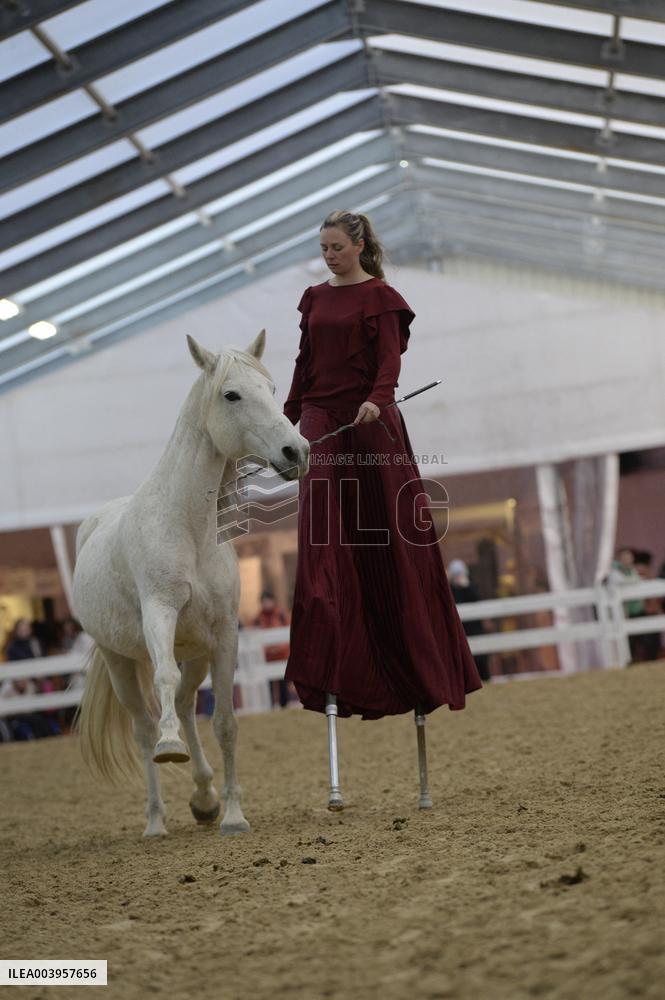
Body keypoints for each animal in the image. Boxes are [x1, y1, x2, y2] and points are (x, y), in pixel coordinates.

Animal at [73, 330, 309, 837]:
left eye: (272, 389)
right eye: (231, 394)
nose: (295, 452)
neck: (187, 527)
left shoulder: (223, 635)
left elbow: (225, 723)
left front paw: (234, 815)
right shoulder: (159, 616)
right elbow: (164, 681)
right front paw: (171, 748)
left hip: (195, 651)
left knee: (183, 704)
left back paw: (204, 797)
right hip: (119, 660)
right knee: (144, 727)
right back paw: (155, 819)